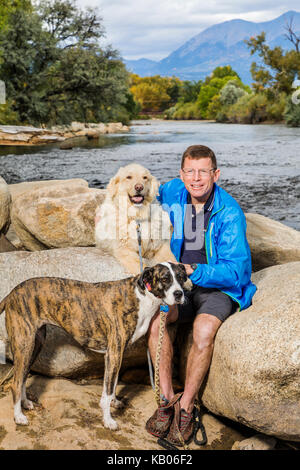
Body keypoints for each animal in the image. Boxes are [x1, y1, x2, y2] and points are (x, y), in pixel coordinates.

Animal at [0, 260, 192, 430]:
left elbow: (112, 384)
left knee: (22, 376)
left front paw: (114, 402)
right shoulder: (114, 353)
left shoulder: (116, 355)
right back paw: (18, 416)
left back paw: (25, 403)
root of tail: (12, 293)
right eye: (165, 279)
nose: (179, 294)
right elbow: (106, 393)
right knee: (16, 382)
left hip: (34, 345)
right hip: (24, 345)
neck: (142, 297)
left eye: (181, 277)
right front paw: (108, 421)